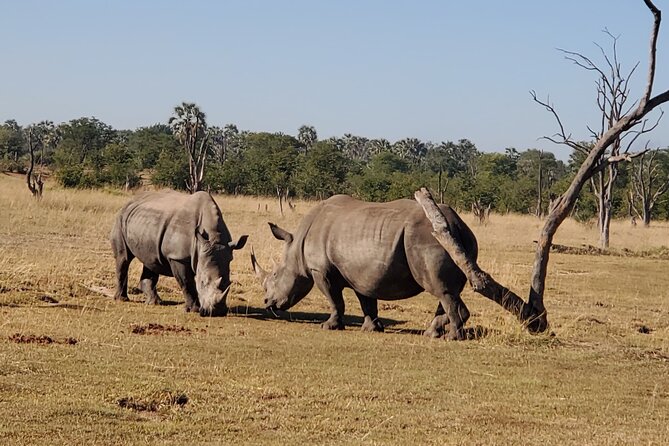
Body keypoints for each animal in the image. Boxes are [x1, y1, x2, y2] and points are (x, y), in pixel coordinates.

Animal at [110, 190, 248, 316]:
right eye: (202, 282)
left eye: (229, 283)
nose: (217, 312)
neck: (213, 238)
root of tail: (130, 201)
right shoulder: (178, 257)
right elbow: (187, 282)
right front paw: (193, 309)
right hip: (120, 220)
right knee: (124, 258)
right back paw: (122, 299)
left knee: (151, 261)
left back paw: (155, 302)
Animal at [251, 195, 478, 340]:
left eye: (275, 275)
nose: (267, 302)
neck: (297, 246)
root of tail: (457, 224)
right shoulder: (360, 273)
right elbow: (366, 301)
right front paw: (371, 328)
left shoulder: (320, 271)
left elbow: (335, 300)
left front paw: (329, 326)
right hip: (457, 240)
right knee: (446, 291)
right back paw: (432, 333)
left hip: (427, 238)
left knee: (441, 290)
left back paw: (451, 337)